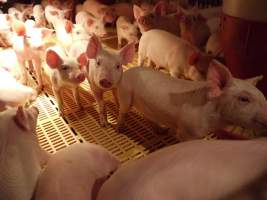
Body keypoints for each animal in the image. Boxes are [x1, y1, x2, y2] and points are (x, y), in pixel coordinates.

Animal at [117, 60, 267, 141]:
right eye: (244, 99)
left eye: (263, 97)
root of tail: (128, 72)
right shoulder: (186, 131)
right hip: (125, 94)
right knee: (123, 111)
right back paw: (119, 130)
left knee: (148, 117)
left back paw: (162, 131)